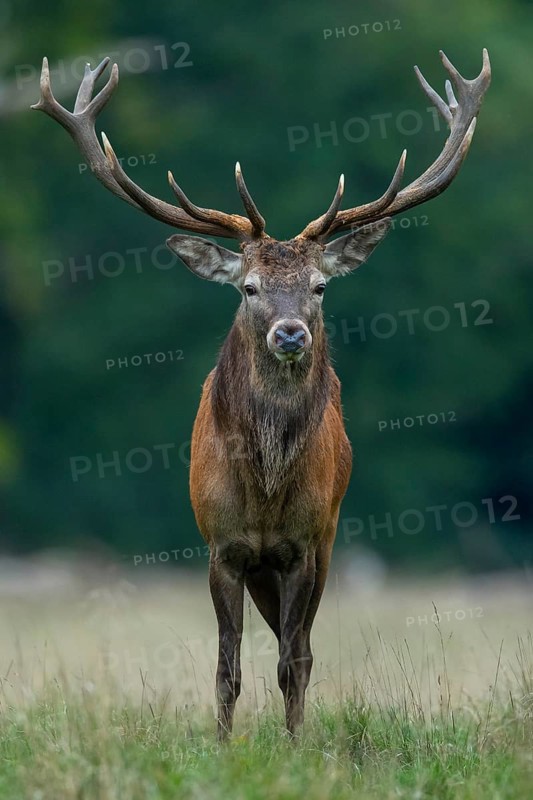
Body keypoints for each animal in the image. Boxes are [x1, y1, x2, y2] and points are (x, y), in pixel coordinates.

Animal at [32, 49, 491, 738]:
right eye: (248, 287)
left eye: (320, 286)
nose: (290, 332)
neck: (266, 491)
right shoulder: (221, 546)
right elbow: (228, 667)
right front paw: (223, 746)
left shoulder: (303, 545)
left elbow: (291, 662)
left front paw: (295, 745)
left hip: (327, 540)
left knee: (300, 646)